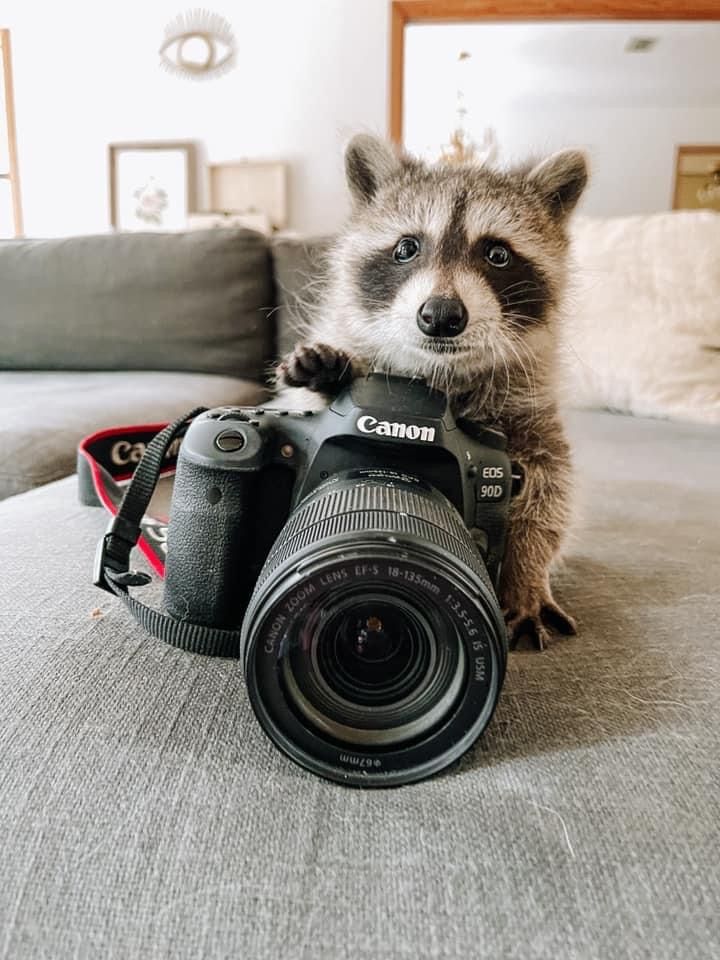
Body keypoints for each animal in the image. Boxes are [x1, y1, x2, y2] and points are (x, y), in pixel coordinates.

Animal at [276, 134, 588, 650]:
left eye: (497, 254)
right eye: (407, 247)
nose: (441, 314)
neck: (439, 376)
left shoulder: (530, 407)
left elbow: (549, 491)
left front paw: (526, 574)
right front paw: (328, 375)